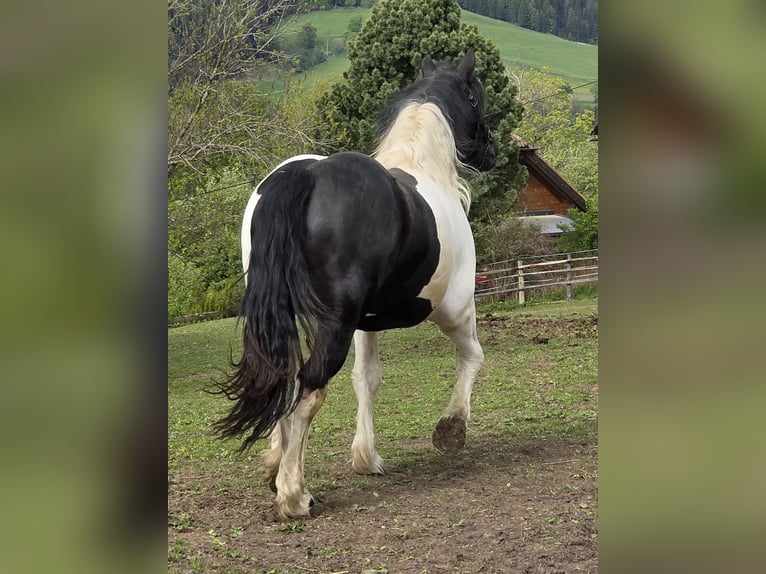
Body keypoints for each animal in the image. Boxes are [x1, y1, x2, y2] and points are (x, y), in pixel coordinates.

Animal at [214, 50, 497, 519]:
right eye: (476, 96)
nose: (493, 149)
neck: (425, 169)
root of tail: (308, 173)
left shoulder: (367, 322)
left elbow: (367, 378)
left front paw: (366, 457)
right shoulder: (455, 308)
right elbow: (472, 357)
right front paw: (451, 430)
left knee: (282, 376)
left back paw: (276, 465)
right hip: (338, 325)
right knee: (309, 388)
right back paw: (294, 494)